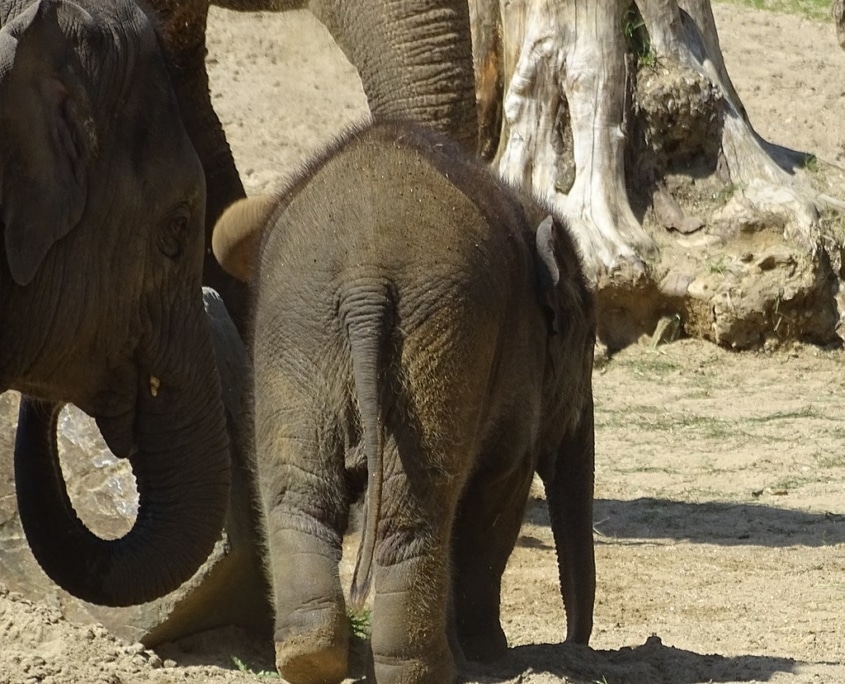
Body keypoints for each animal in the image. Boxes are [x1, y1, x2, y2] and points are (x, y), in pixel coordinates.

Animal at [213, 121, 597, 684]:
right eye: (588, 346)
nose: (574, 646)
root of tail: (364, 278)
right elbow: (499, 490)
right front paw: (492, 656)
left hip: (301, 332)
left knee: (300, 495)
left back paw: (311, 658)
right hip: (435, 334)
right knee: (419, 508)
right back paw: (426, 670)